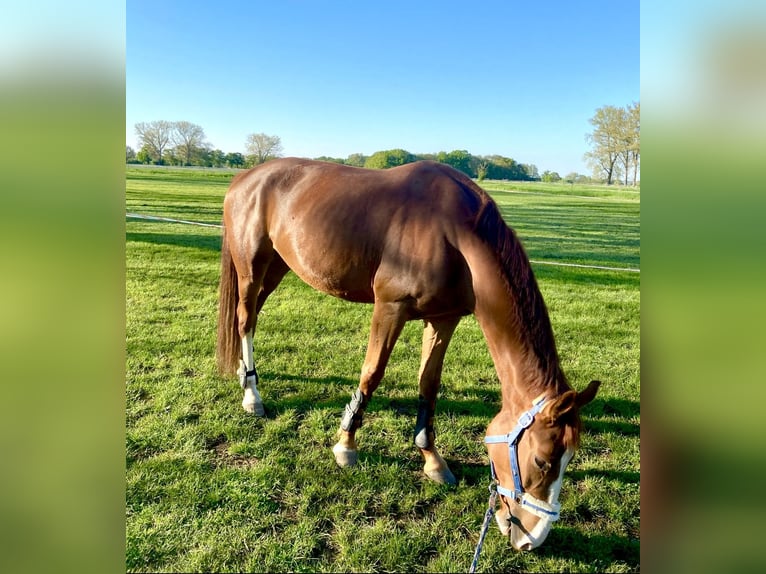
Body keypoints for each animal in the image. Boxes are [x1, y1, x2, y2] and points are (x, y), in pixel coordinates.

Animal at [216, 157, 600, 550]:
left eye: (568, 459)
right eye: (542, 460)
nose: (532, 539)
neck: (452, 235)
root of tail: (246, 177)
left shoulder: (444, 319)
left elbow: (428, 385)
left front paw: (432, 459)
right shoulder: (390, 308)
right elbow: (372, 373)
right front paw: (346, 445)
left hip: (278, 266)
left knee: (251, 316)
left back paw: (245, 377)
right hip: (252, 266)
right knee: (245, 319)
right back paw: (252, 395)